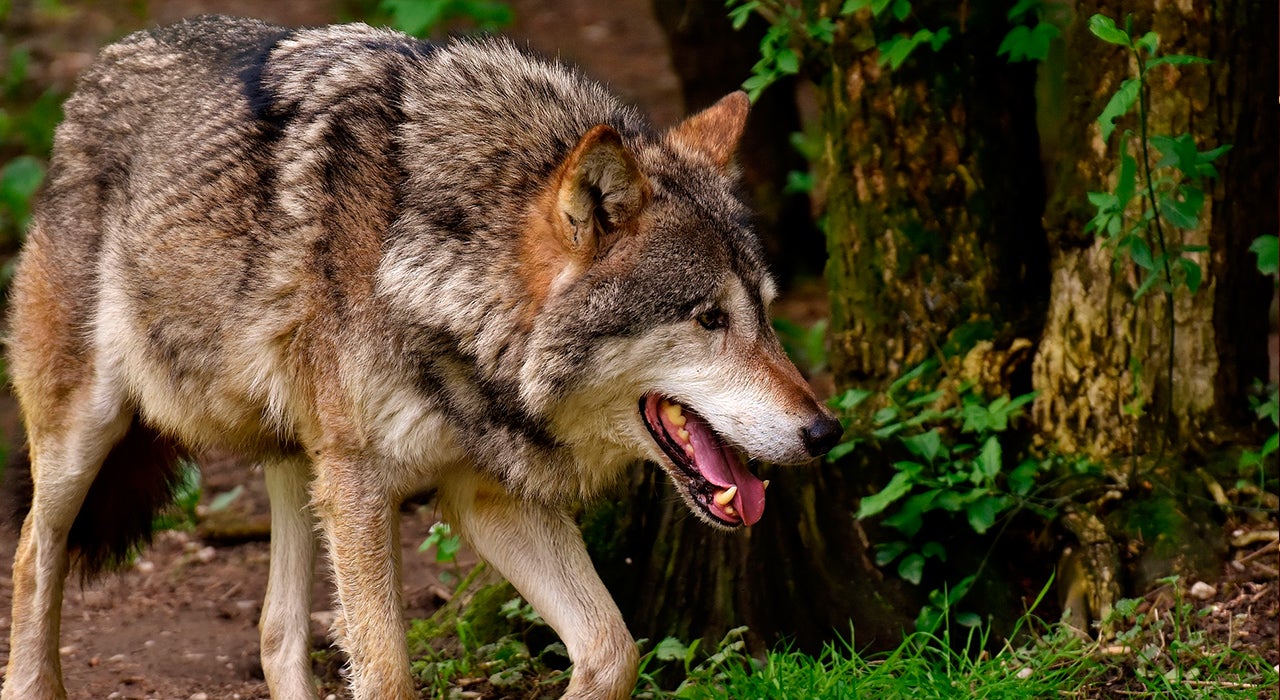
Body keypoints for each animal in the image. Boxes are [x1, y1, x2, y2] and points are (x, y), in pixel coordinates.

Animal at [1, 15, 842, 700]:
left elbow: (612, 648)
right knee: (33, 555)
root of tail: (102, 66)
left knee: (276, 634)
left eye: (766, 313)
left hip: (302, 463)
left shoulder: (484, 496)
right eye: (708, 318)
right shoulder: (364, 487)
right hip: (90, 436)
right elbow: (388, 675)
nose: (825, 432)